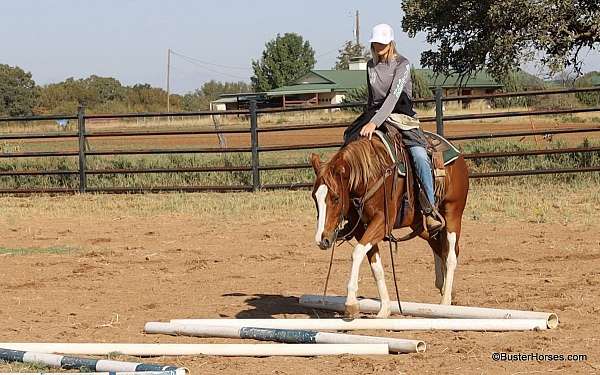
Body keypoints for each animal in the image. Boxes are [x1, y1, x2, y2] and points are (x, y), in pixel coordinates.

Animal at [312, 137, 472, 318]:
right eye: (314, 197)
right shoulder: (362, 229)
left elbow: (357, 253)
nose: (322, 239)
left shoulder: (382, 222)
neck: (371, 176)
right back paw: (444, 287)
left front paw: (351, 303)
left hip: (453, 214)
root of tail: (458, 156)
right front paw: (385, 309)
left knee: (451, 255)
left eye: (336, 198)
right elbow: (376, 266)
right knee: (439, 246)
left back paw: (445, 302)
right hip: (421, 224)